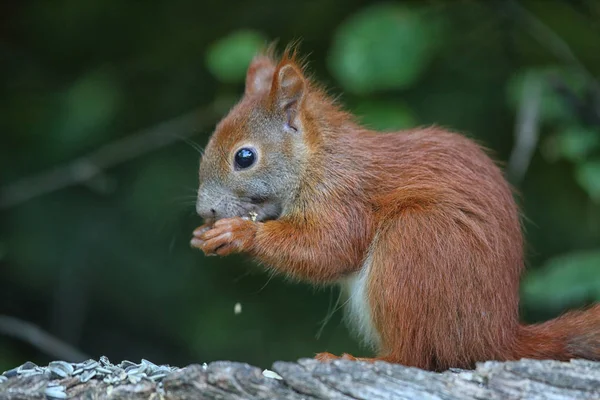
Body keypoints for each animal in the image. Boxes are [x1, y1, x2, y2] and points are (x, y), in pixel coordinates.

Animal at [191, 46, 600, 368]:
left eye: (244, 157)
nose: (205, 211)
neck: (318, 159)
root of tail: (493, 336)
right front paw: (203, 235)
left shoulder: (345, 195)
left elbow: (329, 249)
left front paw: (241, 233)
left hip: (414, 245)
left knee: (416, 356)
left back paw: (360, 360)